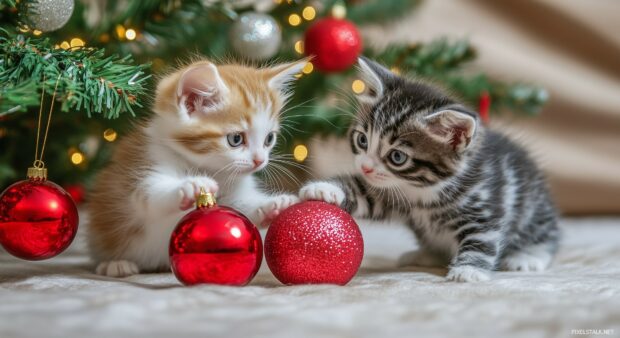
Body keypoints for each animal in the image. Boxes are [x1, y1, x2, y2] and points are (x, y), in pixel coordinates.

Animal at [88, 59, 308, 276]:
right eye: (236, 139)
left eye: (269, 139)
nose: (260, 160)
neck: (208, 168)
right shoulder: (146, 164)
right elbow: (148, 195)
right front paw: (189, 186)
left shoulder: (234, 193)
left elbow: (241, 206)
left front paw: (273, 206)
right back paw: (116, 264)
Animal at [298, 57, 560, 282]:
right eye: (362, 140)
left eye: (397, 157)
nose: (365, 168)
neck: (424, 191)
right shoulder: (389, 195)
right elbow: (363, 193)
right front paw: (324, 189)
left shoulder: (486, 207)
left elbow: (481, 239)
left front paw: (469, 270)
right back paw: (425, 254)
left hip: (533, 212)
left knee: (549, 235)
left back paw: (527, 256)